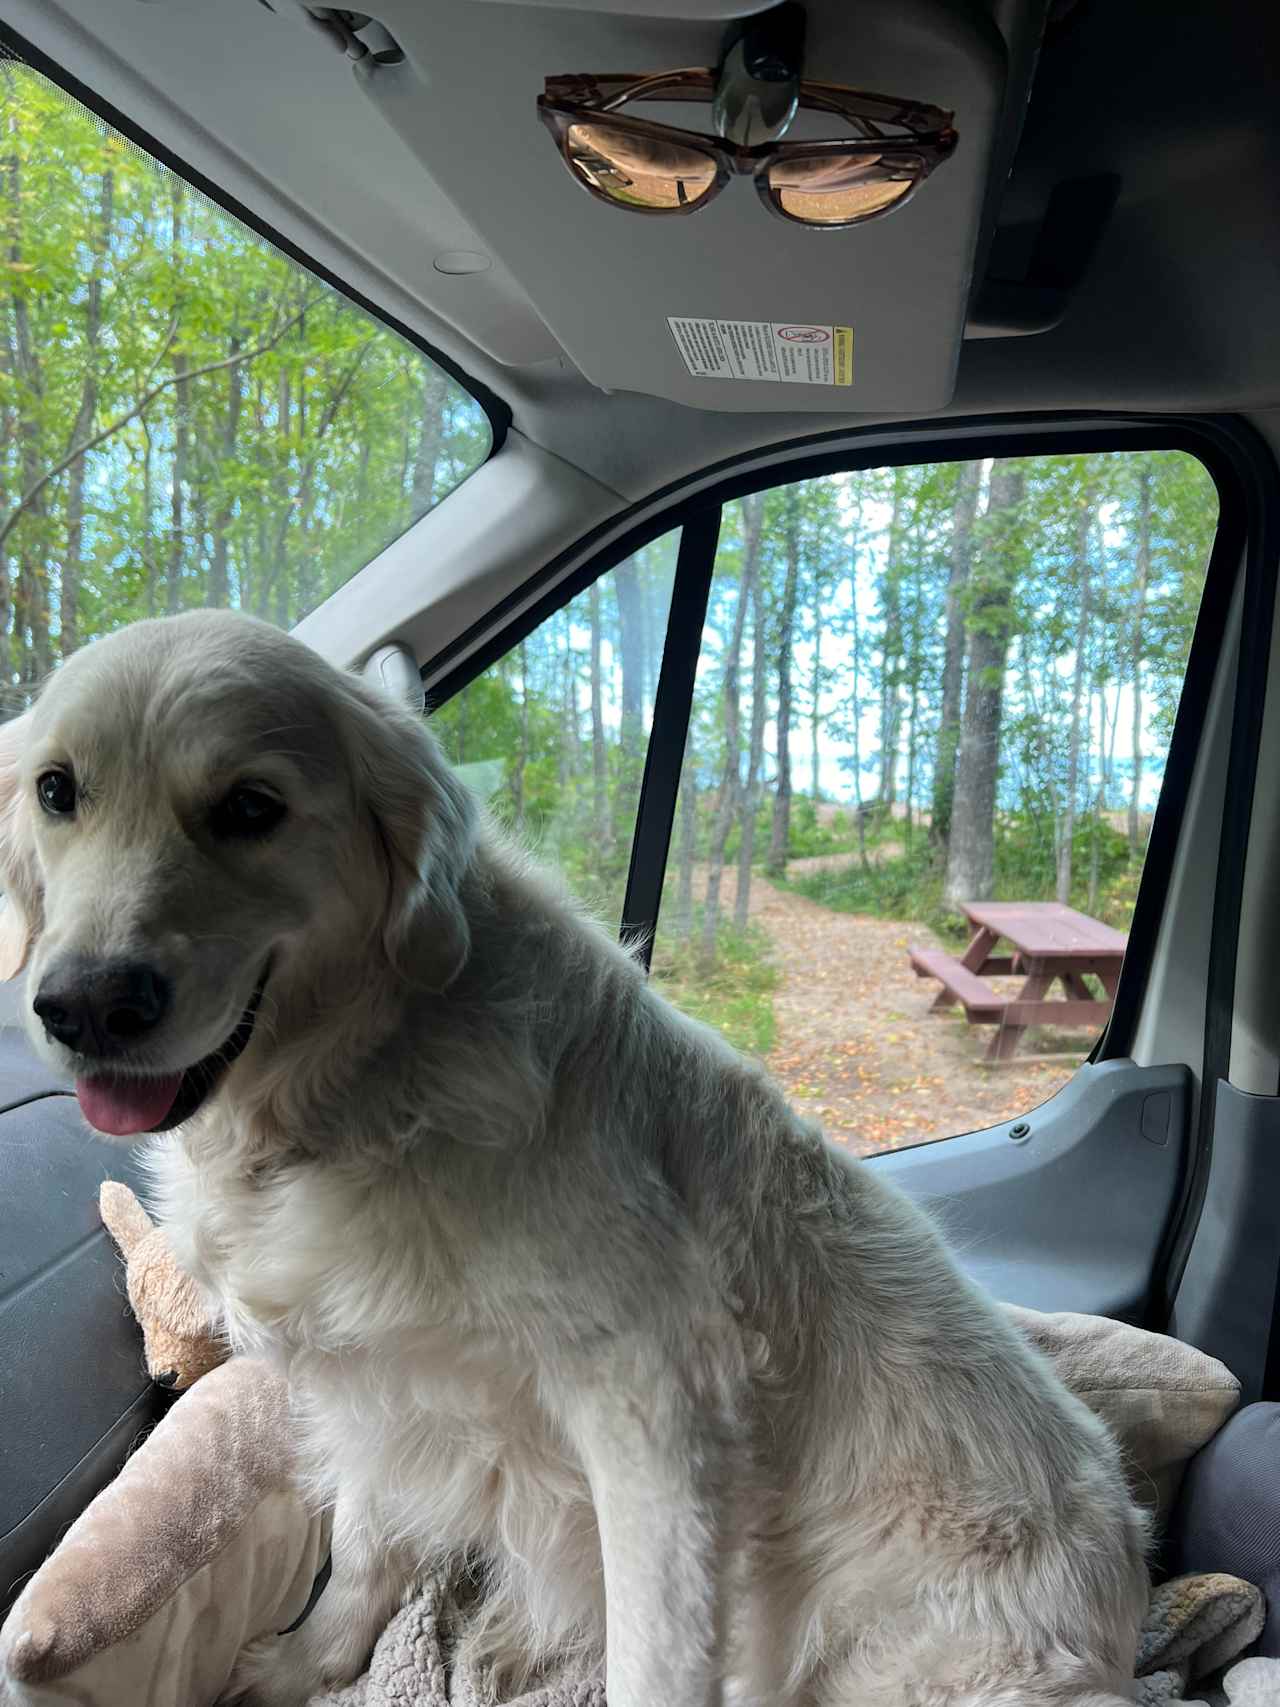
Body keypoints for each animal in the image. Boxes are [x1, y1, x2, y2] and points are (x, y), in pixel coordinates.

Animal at [0, 617, 1146, 1707]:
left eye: (250, 806)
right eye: (58, 792)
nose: (83, 1007)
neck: (365, 1076)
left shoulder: (656, 1417)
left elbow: (653, 1658)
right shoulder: (382, 1387)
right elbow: (364, 1546)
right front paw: (302, 1665)